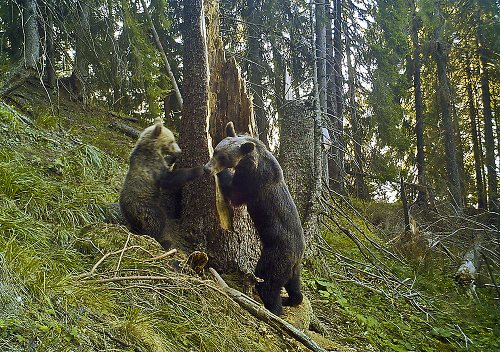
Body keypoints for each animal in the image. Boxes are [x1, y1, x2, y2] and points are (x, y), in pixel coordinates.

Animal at [119, 118, 203, 248]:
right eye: (172, 141)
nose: (179, 151)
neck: (151, 148)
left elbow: (167, 162)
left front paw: (173, 158)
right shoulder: (152, 165)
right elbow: (167, 180)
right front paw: (198, 170)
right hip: (144, 207)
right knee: (157, 220)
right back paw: (161, 240)